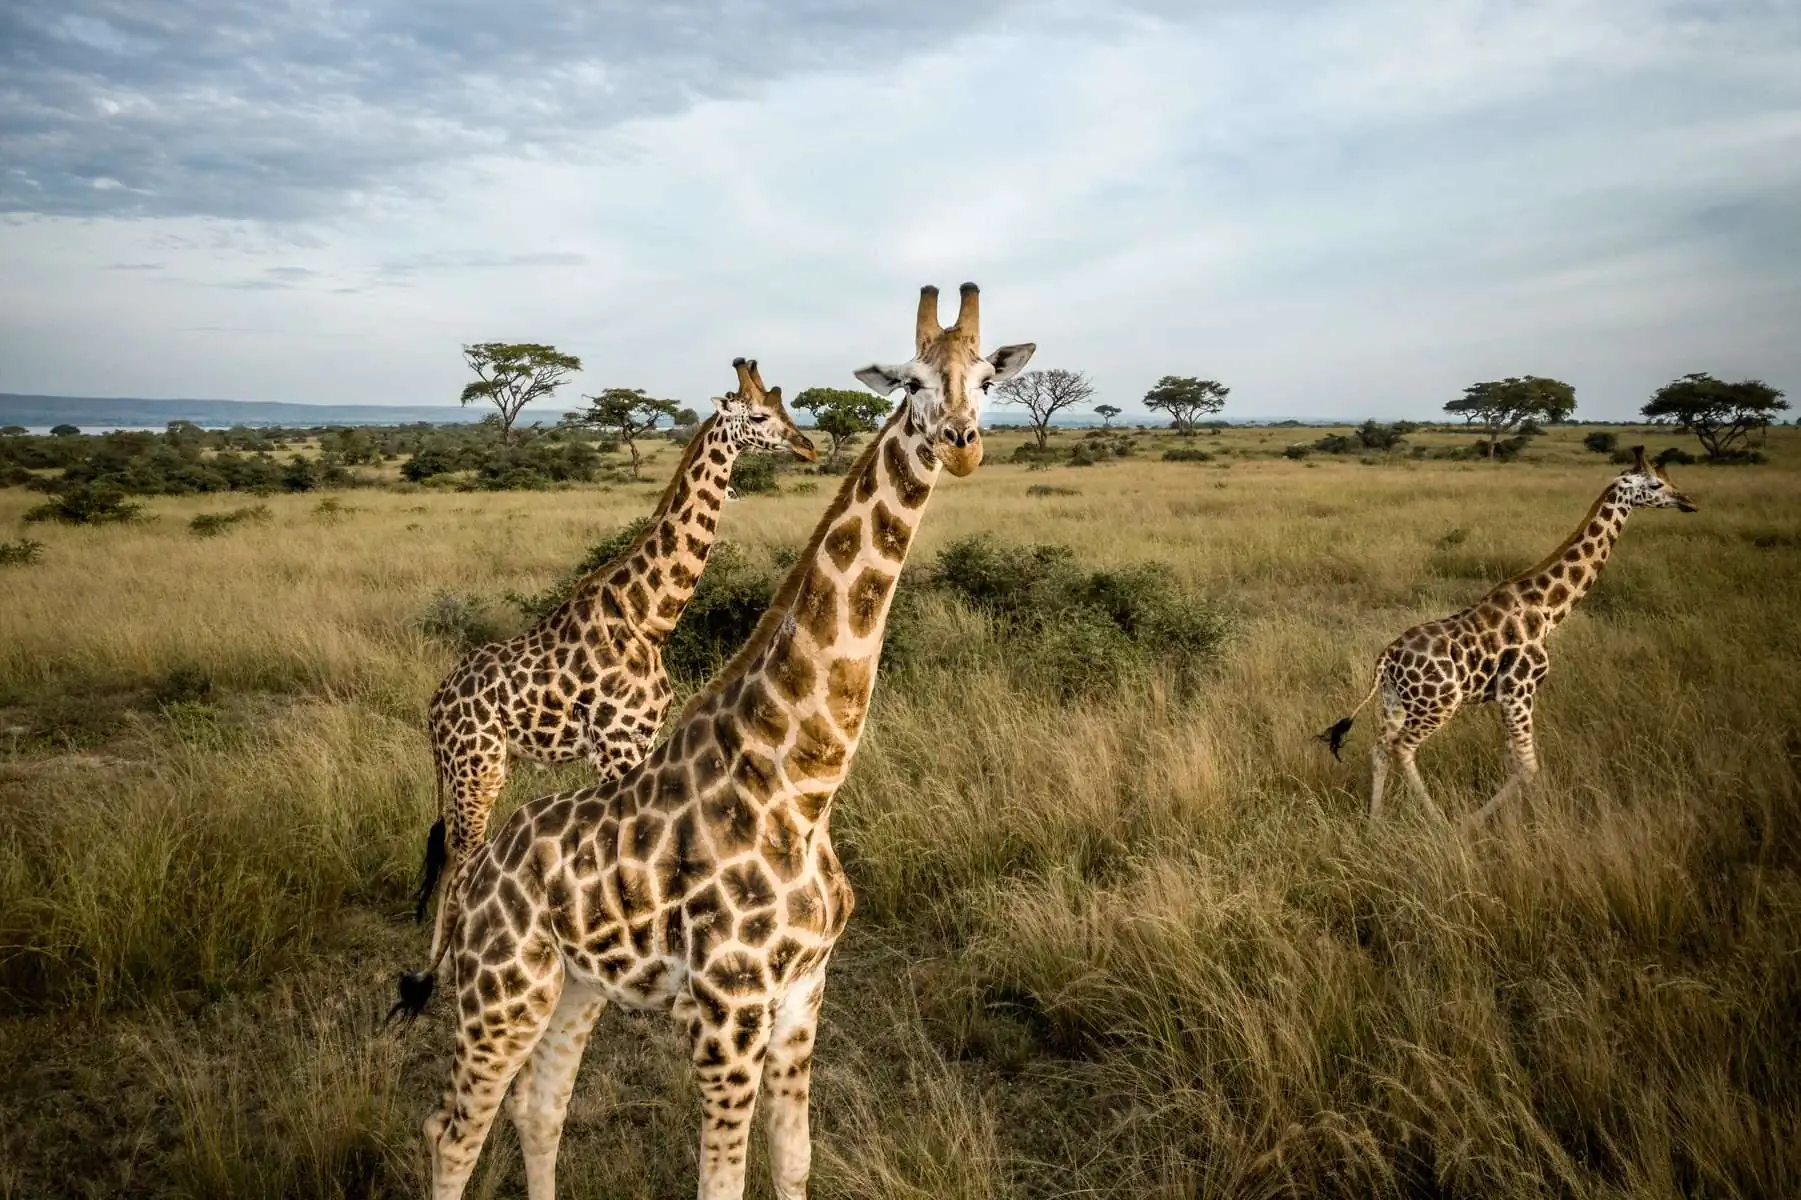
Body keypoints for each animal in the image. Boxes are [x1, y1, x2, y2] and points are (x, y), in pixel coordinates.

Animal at [414, 354, 817, 965]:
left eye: (784, 405)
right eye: (757, 415)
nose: (808, 447)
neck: (650, 620)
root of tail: (436, 705)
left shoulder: (642, 741)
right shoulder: (616, 744)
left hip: (471, 766)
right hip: (477, 764)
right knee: (463, 850)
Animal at [1318, 446, 1692, 821]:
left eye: (1669, 480)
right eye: (1656, 484)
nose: (1688, 501)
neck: (1548, 608)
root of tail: (1387, 659)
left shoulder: (1507, 697)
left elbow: (1513, 760)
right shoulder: (1519, 690)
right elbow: (1527, 766)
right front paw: (1480, 822)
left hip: (1395, 702)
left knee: (1380, 747)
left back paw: (1375, 821)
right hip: (1437, 705)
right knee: (1402, 748)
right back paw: (1438, 819)